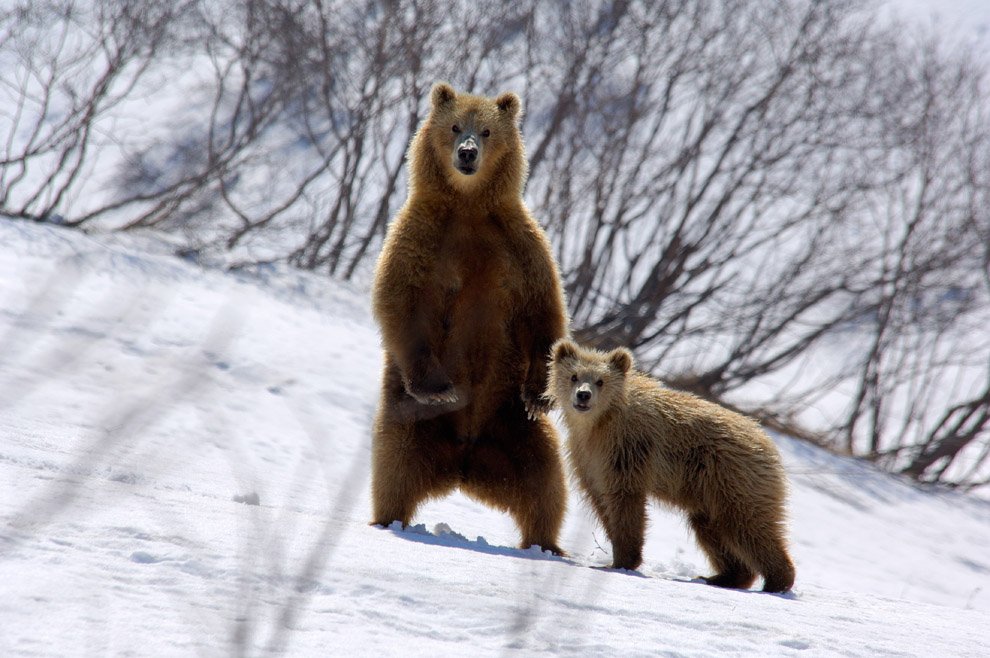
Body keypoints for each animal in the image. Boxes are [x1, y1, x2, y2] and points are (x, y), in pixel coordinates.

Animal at [370, 82, 572, 552]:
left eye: (487, 131)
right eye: (454, 126)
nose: (466, 153)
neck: (469, 205)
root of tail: (463, 461)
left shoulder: (520, 245)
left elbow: (544, 313)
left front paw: (541, 393)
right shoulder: (420, 238)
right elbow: (400, 302)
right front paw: (440, 388)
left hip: (513, 427)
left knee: (545, 483)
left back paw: (545, 543)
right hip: (409, 420)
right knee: (394, 466)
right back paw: (389, 520)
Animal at [548, 338, 796, 588]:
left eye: (600, 380)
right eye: (574, 376)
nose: (583, 395)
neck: (599, 423)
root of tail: (769, 445)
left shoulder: (627, 450)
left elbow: (625, 502)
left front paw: (621, 561)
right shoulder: (588, 458)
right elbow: (601, 500)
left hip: (734, 479)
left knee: (748, 526)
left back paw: (777, 581)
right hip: (710, 495)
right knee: (712, 529)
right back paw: (722, 576)